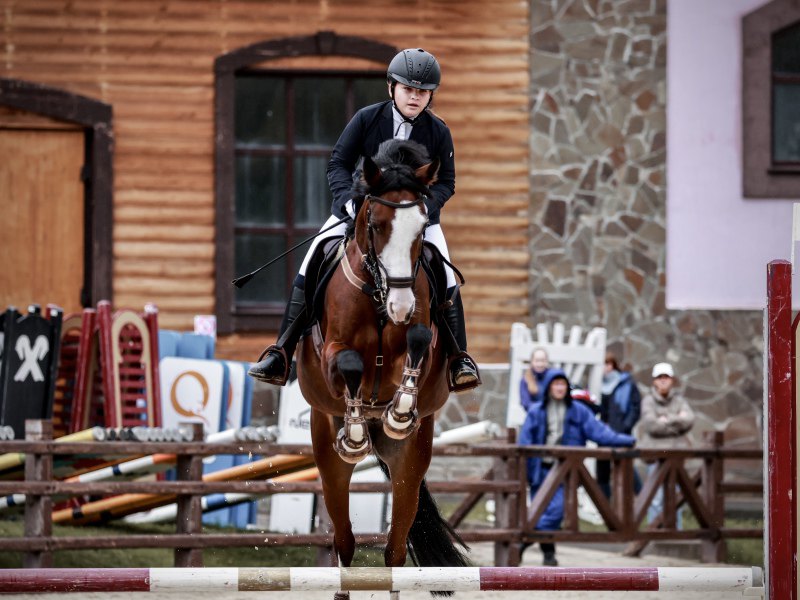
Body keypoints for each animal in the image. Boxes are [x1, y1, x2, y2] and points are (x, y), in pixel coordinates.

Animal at [296, 139, 468, 596]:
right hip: (327, 456)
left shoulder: (420, 342)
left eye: (421, 228)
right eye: (374, 224)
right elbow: (349, 364)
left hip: (410, 460)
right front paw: (356, 425)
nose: (401, 306)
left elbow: (418, 343)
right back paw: (356, 436)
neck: (377, 294)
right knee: (344, 543)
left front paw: (400, 410)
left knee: (394, 550)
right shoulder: (331, 355)